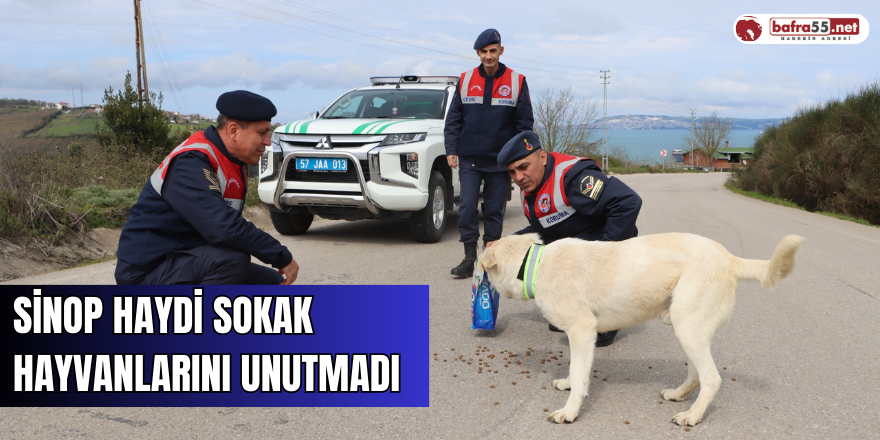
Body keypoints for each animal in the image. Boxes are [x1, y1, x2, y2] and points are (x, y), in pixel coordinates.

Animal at [482, 232, 804, 424]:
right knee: (696, 374)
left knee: (711, 378)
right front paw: (569, 384)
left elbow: (578, 370)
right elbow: (577, 371)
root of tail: (727, 257)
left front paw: (570, 411)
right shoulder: (581, 337)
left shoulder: (583, 330)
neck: (535, 264)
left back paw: (692, 416)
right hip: (686, 329)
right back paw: (678, 395)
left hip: (687, 328)